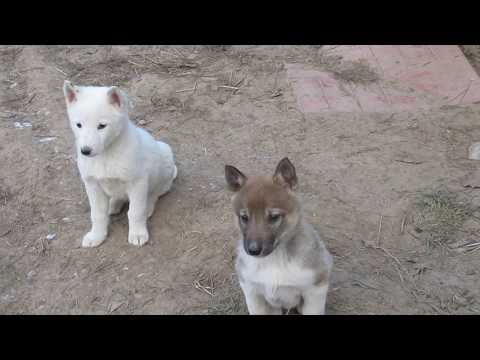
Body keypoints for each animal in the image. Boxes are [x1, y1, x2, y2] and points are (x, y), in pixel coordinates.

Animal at [62, 80, 177, 248]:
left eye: (102, 126)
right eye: (79, 125)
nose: (85, 151)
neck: (106, 155)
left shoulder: (137, 182)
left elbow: (135, 211)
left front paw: (137, 233)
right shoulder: (92, 184)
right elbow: (97, 214)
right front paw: (96, 236)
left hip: (164, 159)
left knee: (156, 192)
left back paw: (148, 206)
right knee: (118, 197)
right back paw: (113, 204)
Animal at [226, 159, 334, 314]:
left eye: (274, 217)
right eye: (244, 217)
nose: (253, 250)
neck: (275, 259)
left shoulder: (316, 288)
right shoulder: (252, 291)